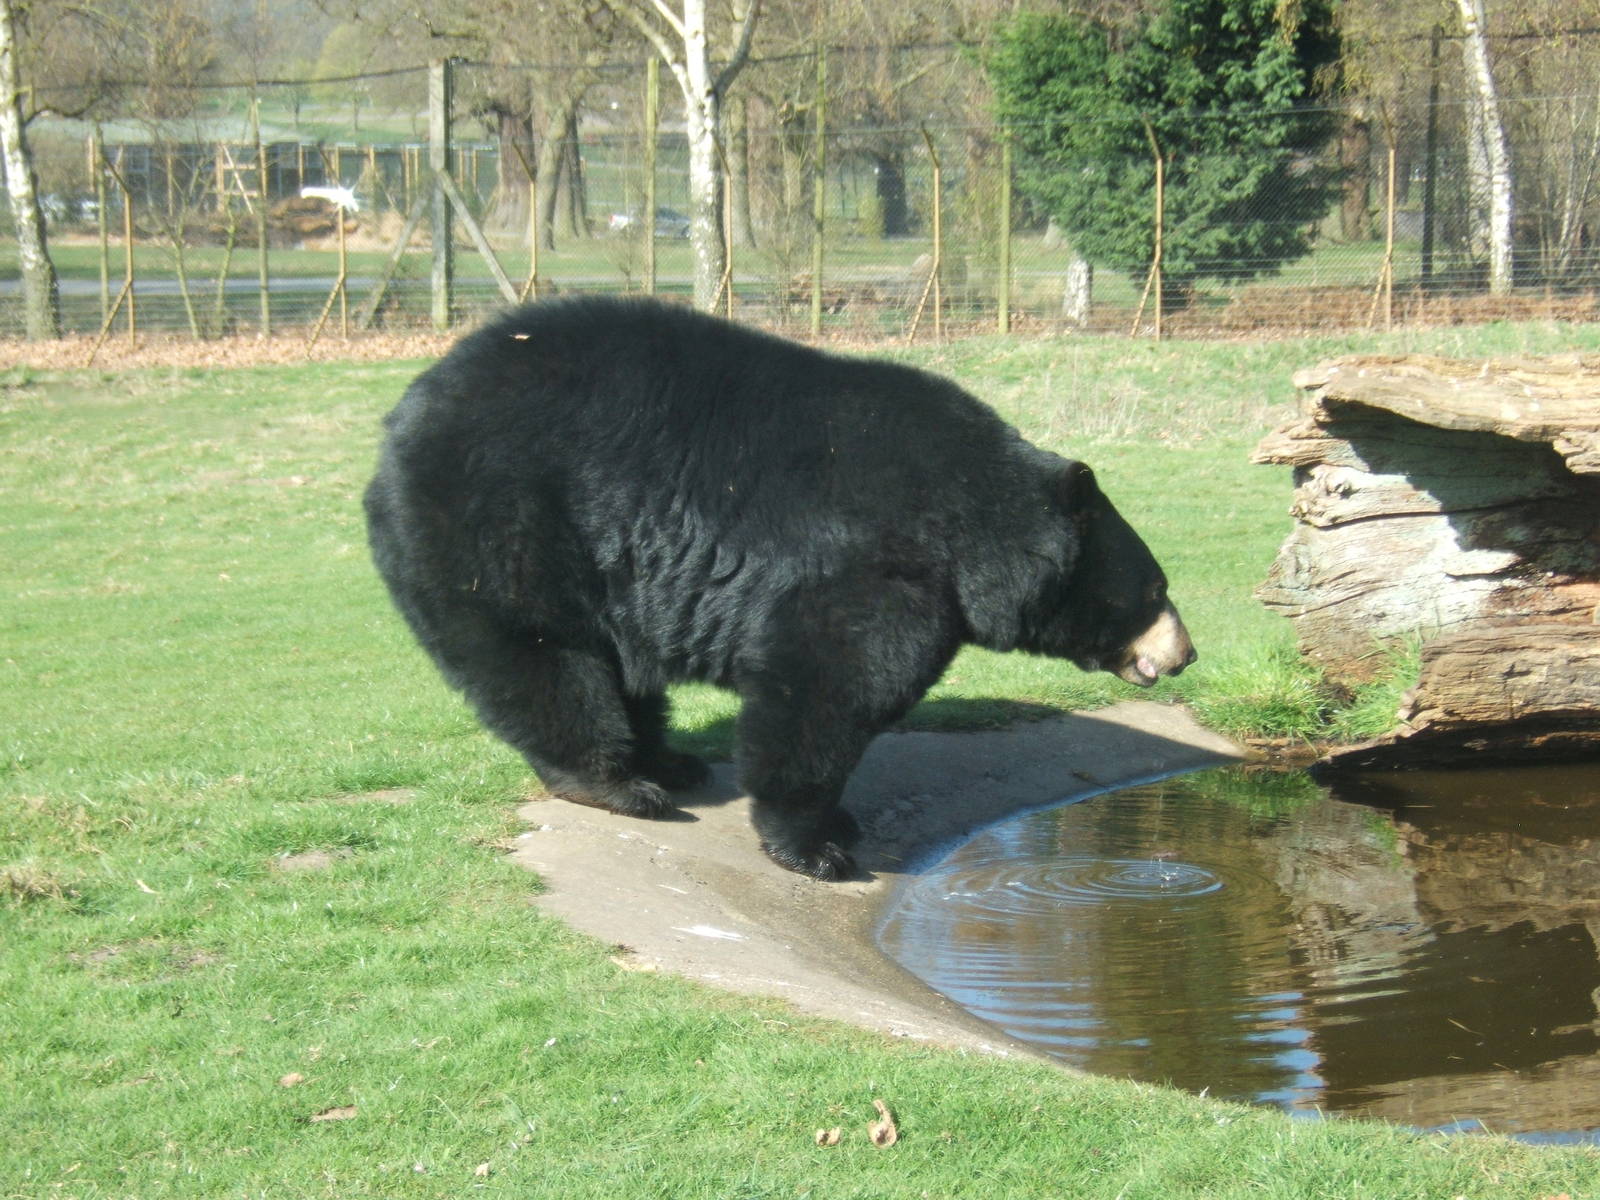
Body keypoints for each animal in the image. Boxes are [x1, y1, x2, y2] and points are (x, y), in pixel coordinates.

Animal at [364, 297, 1194, 880]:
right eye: (1154, 590)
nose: (1186, 653)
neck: (972, 527)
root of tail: (400, 420)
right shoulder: (877, 565)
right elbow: (827, 689)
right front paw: (819, 846)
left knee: (618, 666)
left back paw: (667, 761)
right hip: (507, 524)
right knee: (546, 656)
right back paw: (618, 783)